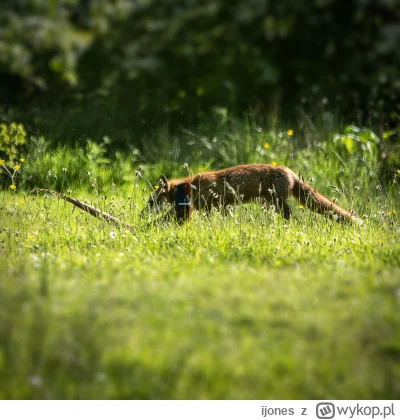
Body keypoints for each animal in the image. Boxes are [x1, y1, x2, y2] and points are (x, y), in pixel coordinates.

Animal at [146, 163, 362, 223]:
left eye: (150, 202)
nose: (141, 214)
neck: (191, 186)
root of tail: (288, 170)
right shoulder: (221, 207)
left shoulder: (208, 205)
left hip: (277, 202)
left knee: (289, 215)